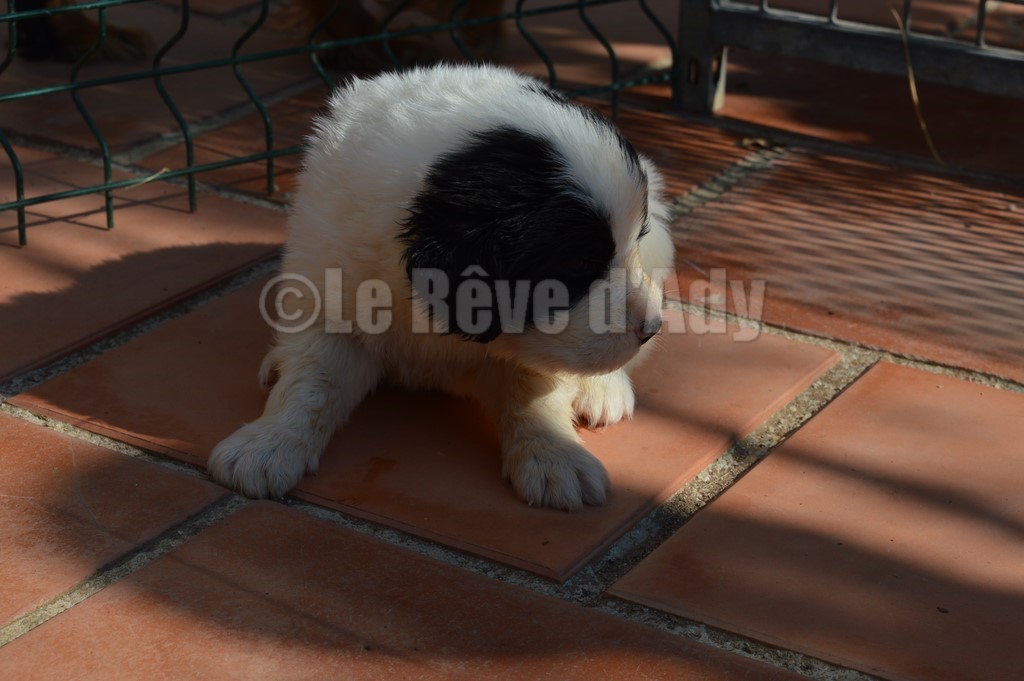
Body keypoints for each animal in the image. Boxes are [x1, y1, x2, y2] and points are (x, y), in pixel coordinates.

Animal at [209, 64, 674, 510]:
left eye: (631, 241)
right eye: (579, 264)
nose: (651, 328)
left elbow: (532, 389)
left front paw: (554, 456)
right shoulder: (332, 292)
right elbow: (312, 382)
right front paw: (269, 443)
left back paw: (604, 389)